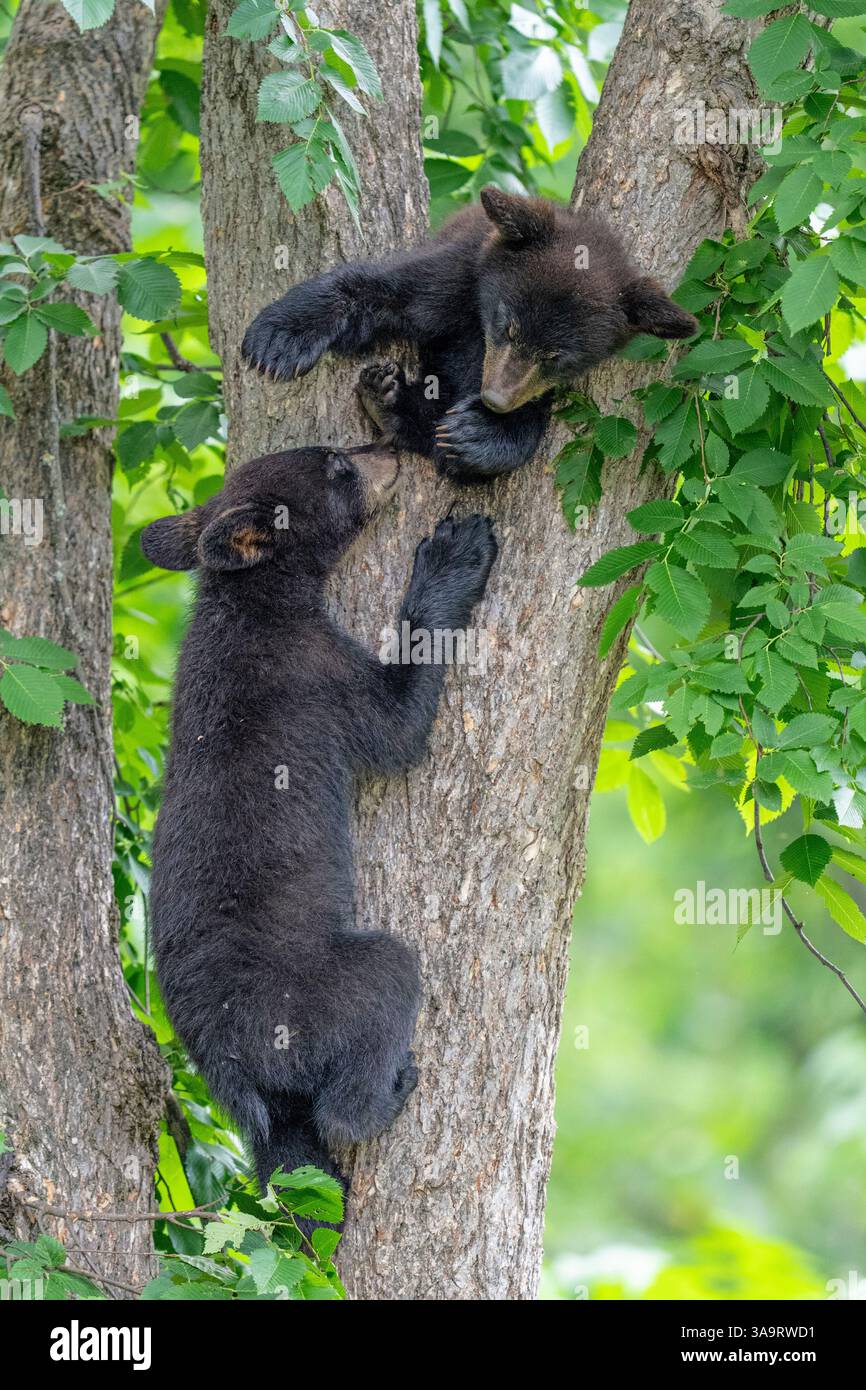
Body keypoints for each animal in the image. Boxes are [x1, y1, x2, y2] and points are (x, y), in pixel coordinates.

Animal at [141, 442, 498, 1223]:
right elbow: (397, 724)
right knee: (375, 1010)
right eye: (336, 466)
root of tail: (233, 1065)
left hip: (272, 1106)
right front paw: (457, 552)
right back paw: (388, 1094)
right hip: (330, 991)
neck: (249, 598)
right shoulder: (316, 669)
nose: (393, 451)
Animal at [241, 187, 698, 483]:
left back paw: (392, 402)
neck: (477, 320)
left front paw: (479, 434)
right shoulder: (457, 273)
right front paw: (281, 338)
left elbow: (531, 414)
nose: (495, 399)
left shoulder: (535, 383)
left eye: (557, 357)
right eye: (507, 326)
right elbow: (380, 289)